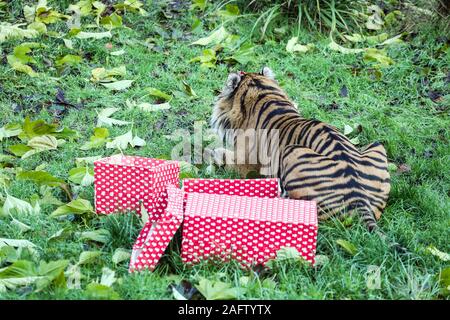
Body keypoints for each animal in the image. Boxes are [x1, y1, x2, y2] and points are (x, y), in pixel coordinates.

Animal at [211, 67, 400, 248]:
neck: (262, 92)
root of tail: (359, 198)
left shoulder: (245, 165)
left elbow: (220, 155)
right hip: (377, 145)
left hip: (292, 153)